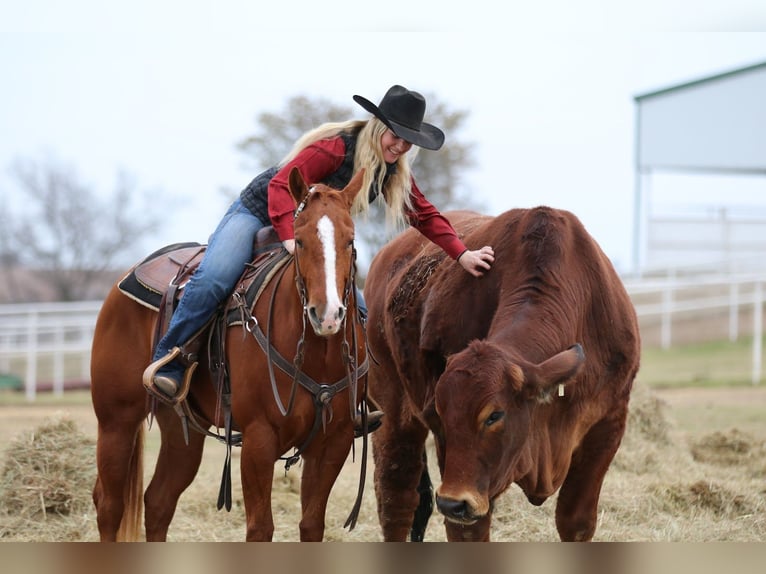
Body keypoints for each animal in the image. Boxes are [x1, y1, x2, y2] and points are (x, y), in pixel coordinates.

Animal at [90, 169, 372, 544]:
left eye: (350, 241)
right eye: (299, 241)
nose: (326, 315)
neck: (317, 354)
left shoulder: (333, 442)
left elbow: (312, 525)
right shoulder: (258, 440)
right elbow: (260, 528)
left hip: (183, 429)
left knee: (159, 501)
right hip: (116, 420)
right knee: (109, 504)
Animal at [366, 208, 640, 544]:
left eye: (494, 415)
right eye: (441, 414)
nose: (453, 502)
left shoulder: (608, 425)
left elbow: (575, 521)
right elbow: (468, 530)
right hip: (393, 416)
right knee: (397, 498)